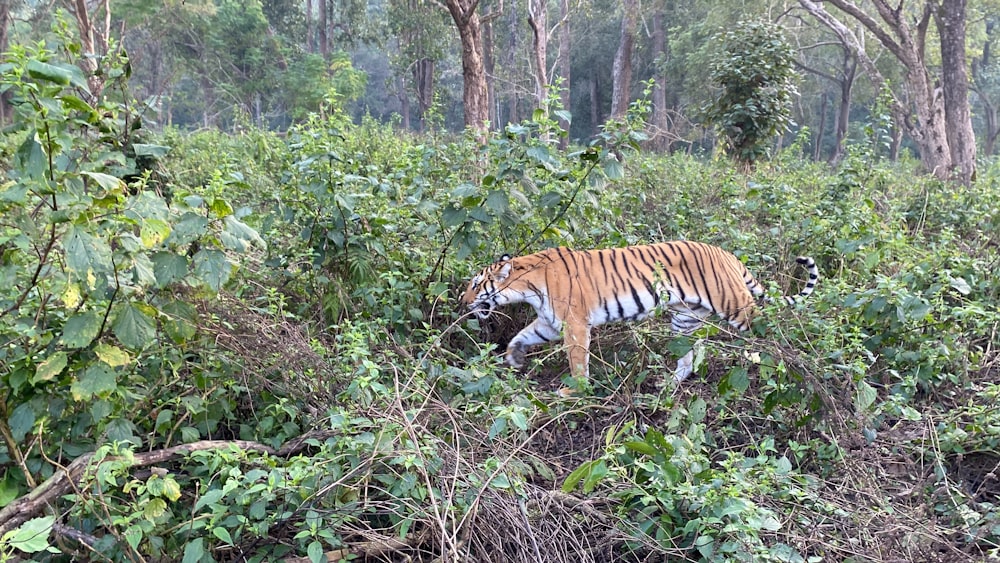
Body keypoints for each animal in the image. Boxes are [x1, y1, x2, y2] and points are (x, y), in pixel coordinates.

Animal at [460, 242, 820, 388]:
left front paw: (574, 392)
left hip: (736, 306)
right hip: (685, 318)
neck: (528, 284)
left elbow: (577, 362)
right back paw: (669, 384)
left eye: (476, 285)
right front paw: (514, 358)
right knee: (689, 356)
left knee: (769, 329)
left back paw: (786, 364)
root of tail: (728, 254)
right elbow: (520, 337)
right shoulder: (550, 322)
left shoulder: (574, 324)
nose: (463, 302)